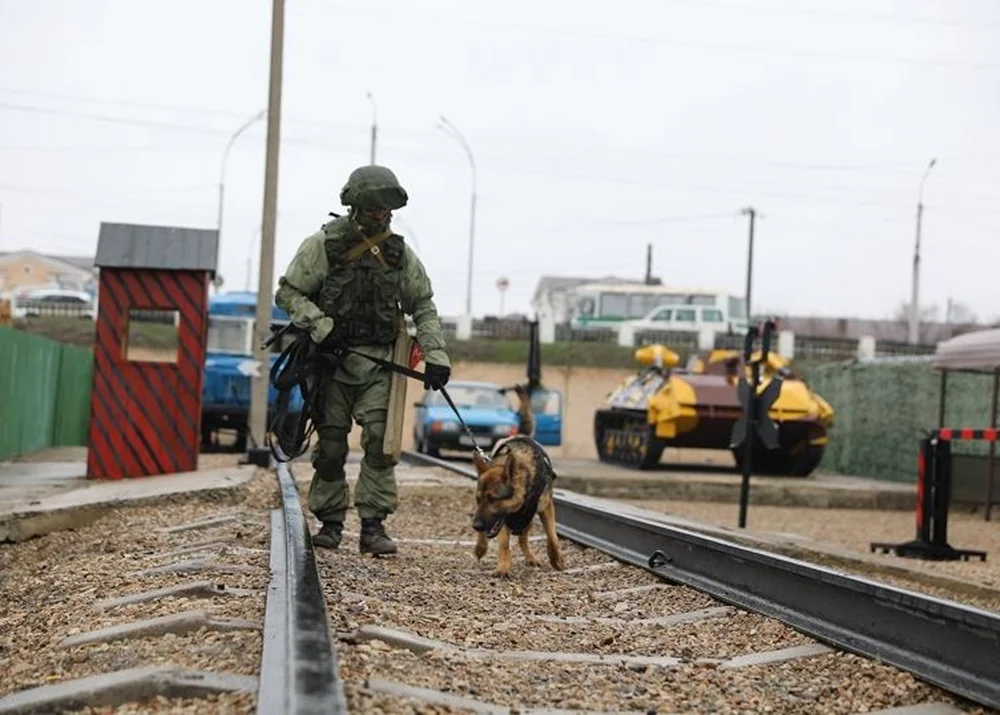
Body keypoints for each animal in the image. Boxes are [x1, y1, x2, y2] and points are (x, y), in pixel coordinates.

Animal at [470, 386, 564, 576]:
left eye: (493, 499)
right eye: (478, 499)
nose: (476, 526)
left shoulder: (546, 508)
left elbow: (552, 536)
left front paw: (556, 558)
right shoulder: (502, 520)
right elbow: (504, 544)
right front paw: (503, 567)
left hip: (528, 519)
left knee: (523, 539)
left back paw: (531, 557)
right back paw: (481, 546)